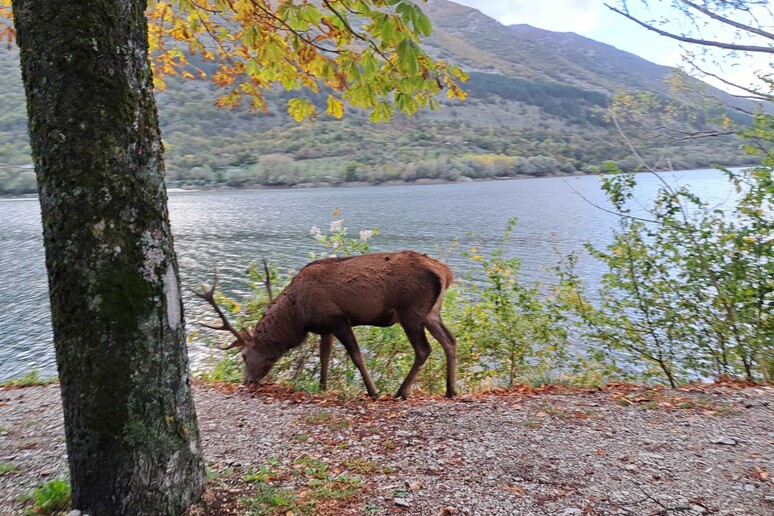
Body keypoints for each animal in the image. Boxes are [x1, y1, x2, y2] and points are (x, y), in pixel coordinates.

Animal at [197, 250, 458, 400]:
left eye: (243, 355)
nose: (247, 381)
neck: (297, 316)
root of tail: (446, 273)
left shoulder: (339, 319)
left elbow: (356, 356)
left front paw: (373, 391)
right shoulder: (325, 326)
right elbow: (325, 356)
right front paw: (322, 387)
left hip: (410, 311)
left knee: (423, 349)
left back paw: (401, 392)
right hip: (431, 313)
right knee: (450, 340)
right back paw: (450, 390)